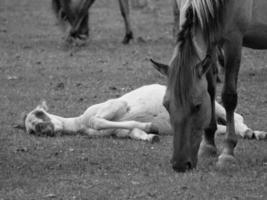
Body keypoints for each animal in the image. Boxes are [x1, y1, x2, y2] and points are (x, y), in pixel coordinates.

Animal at [152, 0, 267, 172]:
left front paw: (227, 152)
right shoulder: (211, 44)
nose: (180, 165)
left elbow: (229, 97)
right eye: (166, 105)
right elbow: (211, 90)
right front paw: (208, 146)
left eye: (197, 106)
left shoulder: (233, 41)